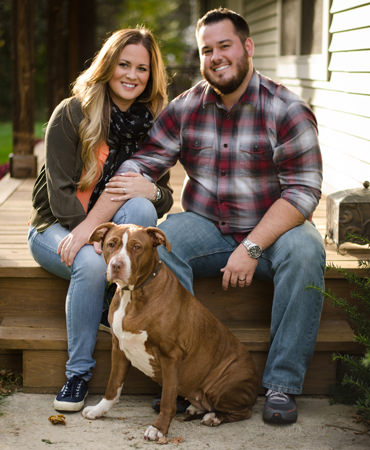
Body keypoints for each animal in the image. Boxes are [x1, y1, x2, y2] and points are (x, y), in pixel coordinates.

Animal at [82, 223, 258, 442]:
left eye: (137, 247)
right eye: (111, 244)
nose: (116, 265)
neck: (133, 294)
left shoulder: (170, 356)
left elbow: (167, 399)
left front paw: (159, 428)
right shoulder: (119, 347)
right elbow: (113, 386)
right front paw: (99, 410)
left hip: (221, 385)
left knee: (245, 411)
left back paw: (214, 417)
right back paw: (196, 408)